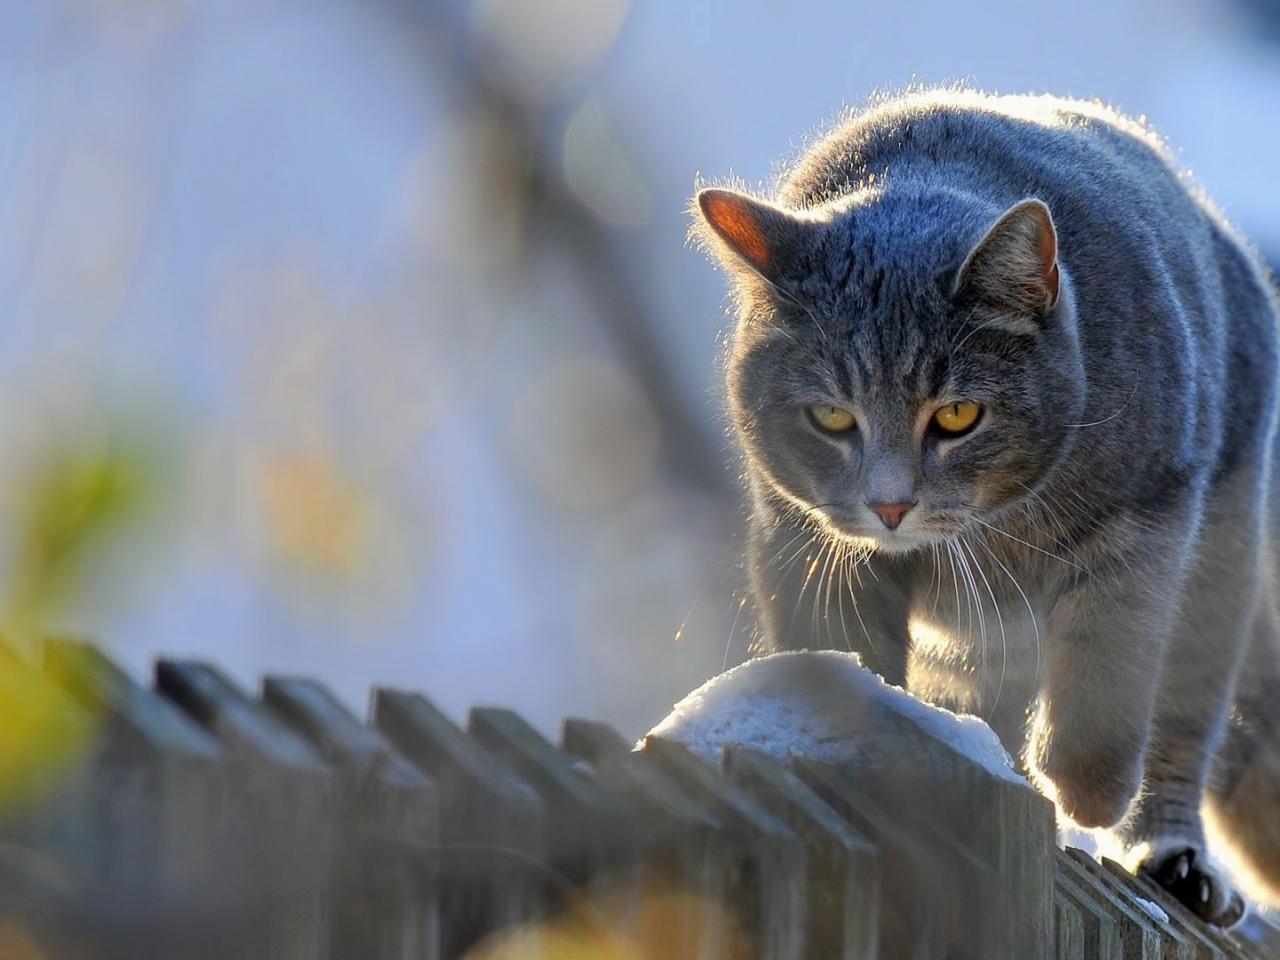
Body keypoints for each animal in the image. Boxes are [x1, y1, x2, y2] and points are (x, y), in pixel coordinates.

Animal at [691, 86, 1280, 926]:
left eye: (958, 416)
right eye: (831, 417)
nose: (890, 505)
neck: (991, 531)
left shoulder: (1147, 522)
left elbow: (1107, 674)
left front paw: (1087, 793)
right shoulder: (805, 542)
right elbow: (848, 657)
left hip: (1219, 571)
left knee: (1181, 729)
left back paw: (1172, 858)